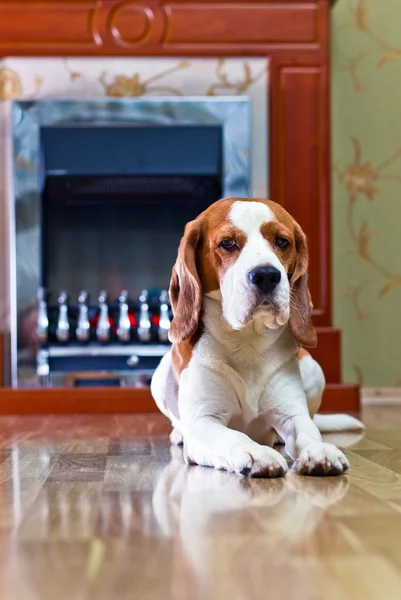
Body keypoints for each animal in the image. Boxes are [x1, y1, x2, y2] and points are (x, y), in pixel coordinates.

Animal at [151, 197, 362, 478]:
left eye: (282, 241)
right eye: (228, 243)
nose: (266, 275)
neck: (247, 343)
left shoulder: (292, 413)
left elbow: (308, 432)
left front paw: (319, 450)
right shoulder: (203, 420)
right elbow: (233, 437)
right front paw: (255, 452)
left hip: (314, 369)